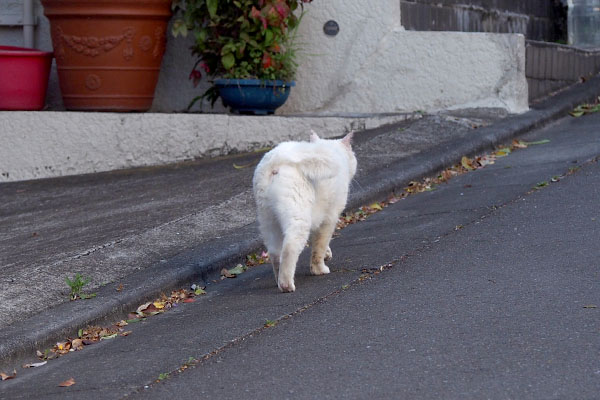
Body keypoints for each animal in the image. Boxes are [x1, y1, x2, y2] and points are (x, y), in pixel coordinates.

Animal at [252, 133, 356, 292]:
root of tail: (276, 160)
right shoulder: (329, 219)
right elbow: (319, 246)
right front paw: (319, 269)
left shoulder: (318, 217)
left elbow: (317, 242)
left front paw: (327, 254)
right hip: (298, 219)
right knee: (289, 248)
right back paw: (286, 285)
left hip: (269, 221)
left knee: (275, 253)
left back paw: (278, 280)